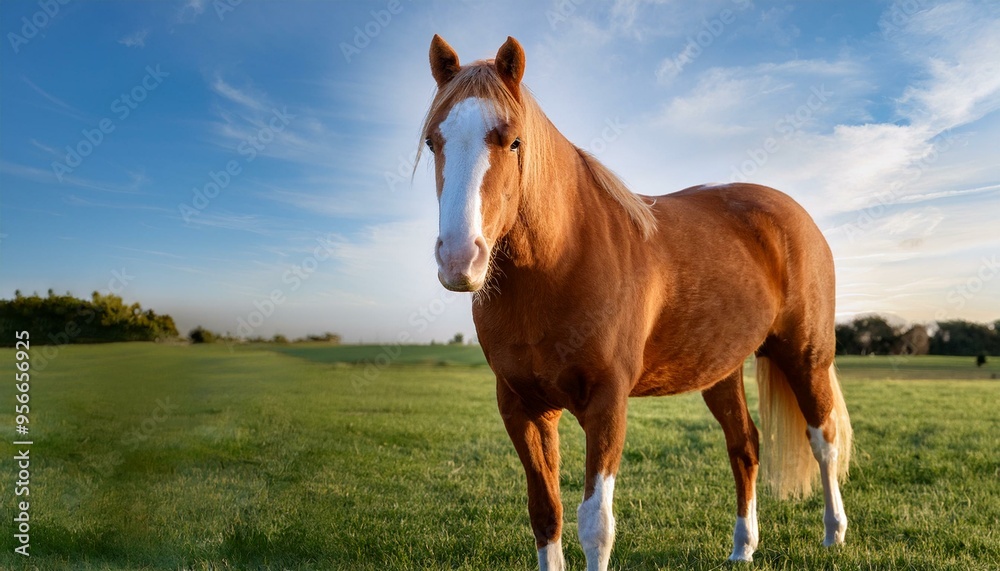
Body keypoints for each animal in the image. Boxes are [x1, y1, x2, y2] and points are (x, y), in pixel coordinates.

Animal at [417, 34, 853, 570]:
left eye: (513, 141)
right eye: (434, 141)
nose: (460, 257)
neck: (562, 261)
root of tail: (796, 216)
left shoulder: (607, 403)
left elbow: (595, 525)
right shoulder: (522, 408)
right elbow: (545, 512)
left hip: (806, 357)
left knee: (824, 441)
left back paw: (834, 534)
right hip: (722, 370)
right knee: (744, 446)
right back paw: (742, 548)